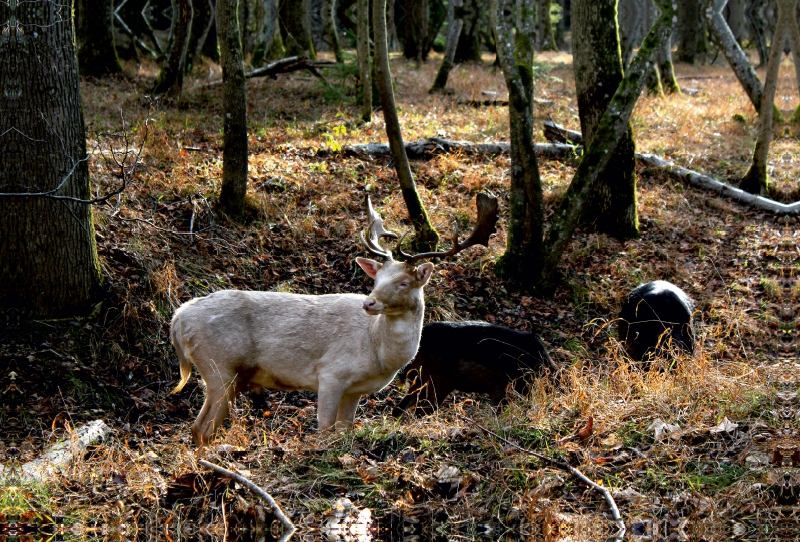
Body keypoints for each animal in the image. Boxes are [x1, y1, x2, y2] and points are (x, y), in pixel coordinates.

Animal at [170, 194, 496, 446]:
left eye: (404, 283)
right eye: (377, 279)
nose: (369, 302)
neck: (377, 353)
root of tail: (178, 318)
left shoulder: (355, 390)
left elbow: (344, 430)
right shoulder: (330, 374)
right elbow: (325, 430)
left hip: (226, 373)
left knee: (201, 428)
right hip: (219, 366)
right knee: (201, 428)